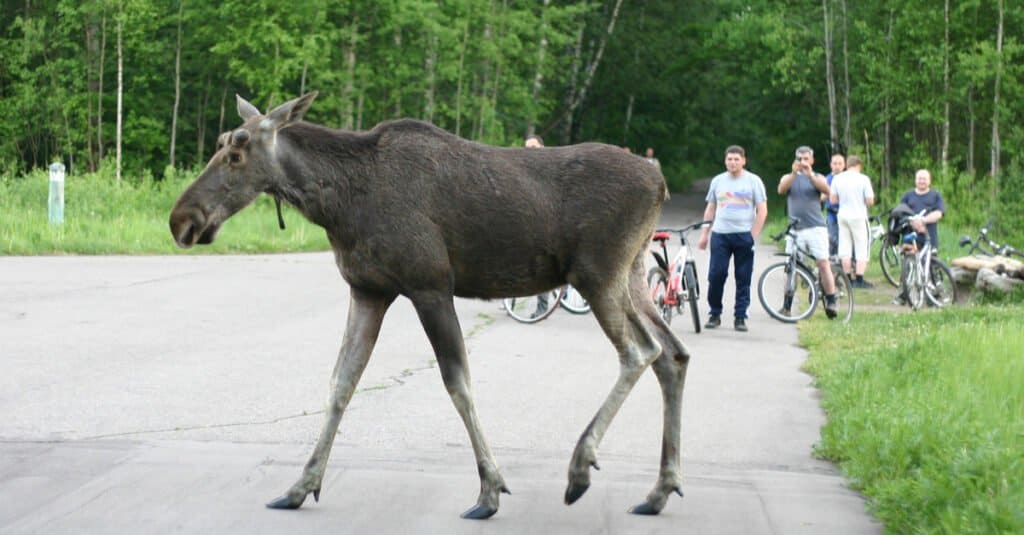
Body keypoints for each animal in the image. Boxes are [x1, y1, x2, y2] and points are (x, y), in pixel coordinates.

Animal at [169, 91, 688, 516]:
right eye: (220, 143)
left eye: (237, 152)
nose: (181, 219)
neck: (337, 205)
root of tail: (660, 182)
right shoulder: (369, 290)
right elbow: (340, 384)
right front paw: (300, 485)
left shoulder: (430, 286)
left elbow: (458, 384)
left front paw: (489, 490)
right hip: (633, 274)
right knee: (674, 353)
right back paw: (659, 490)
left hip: (598, 275)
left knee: (640, 352)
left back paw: (581, 468)